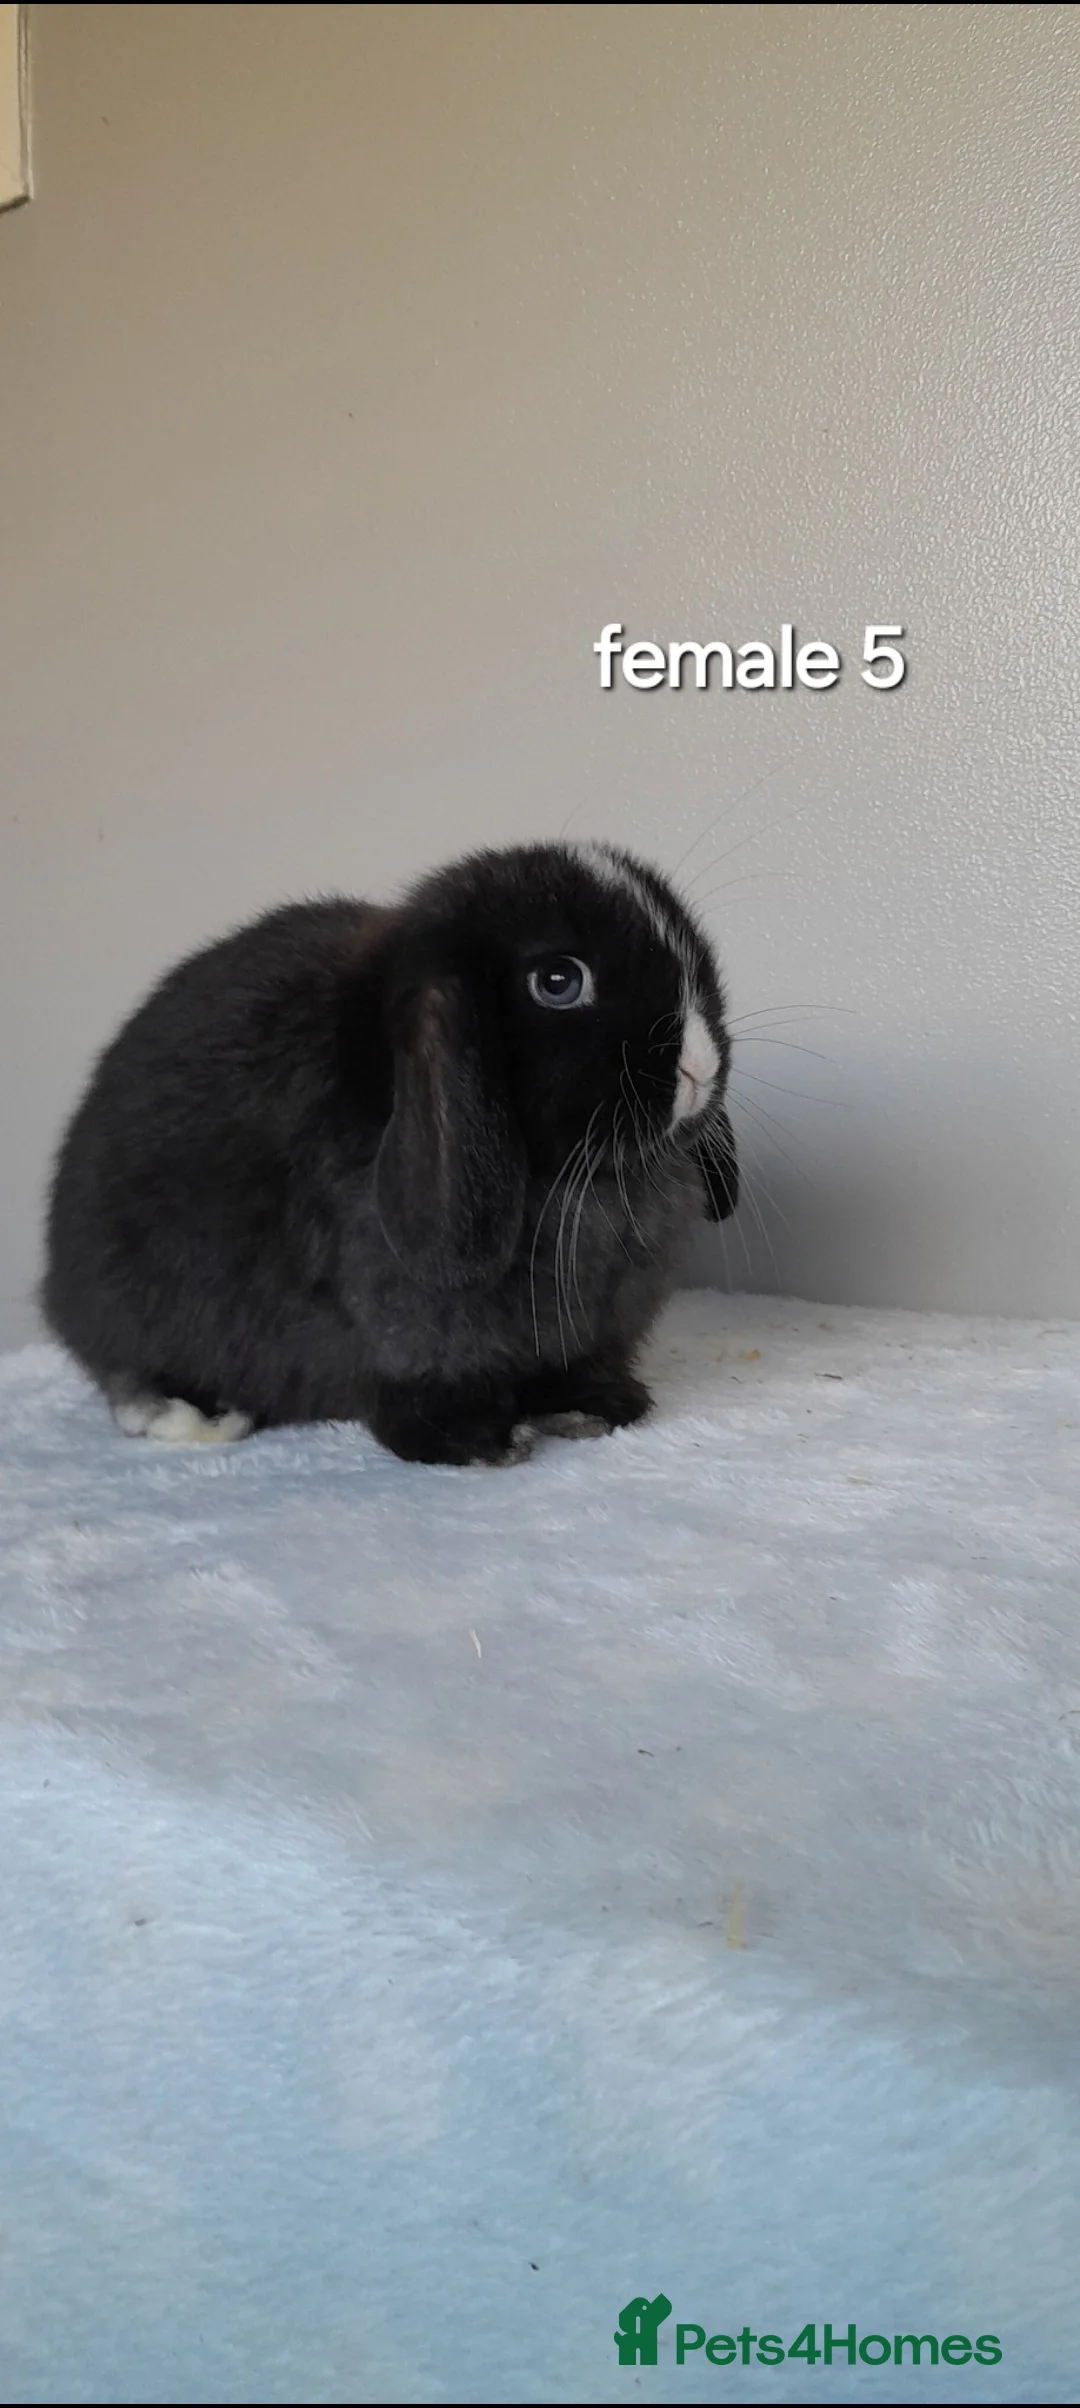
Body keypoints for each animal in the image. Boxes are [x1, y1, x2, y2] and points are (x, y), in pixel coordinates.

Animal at [42, 840, 739, 1466]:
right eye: (559, 981)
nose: (700, 1067)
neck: (588, 1179)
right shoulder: (402, 1332)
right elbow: (410, 1390)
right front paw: (477, 1444)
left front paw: (599, 1407)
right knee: (124, 1369)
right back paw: (190, 1414)